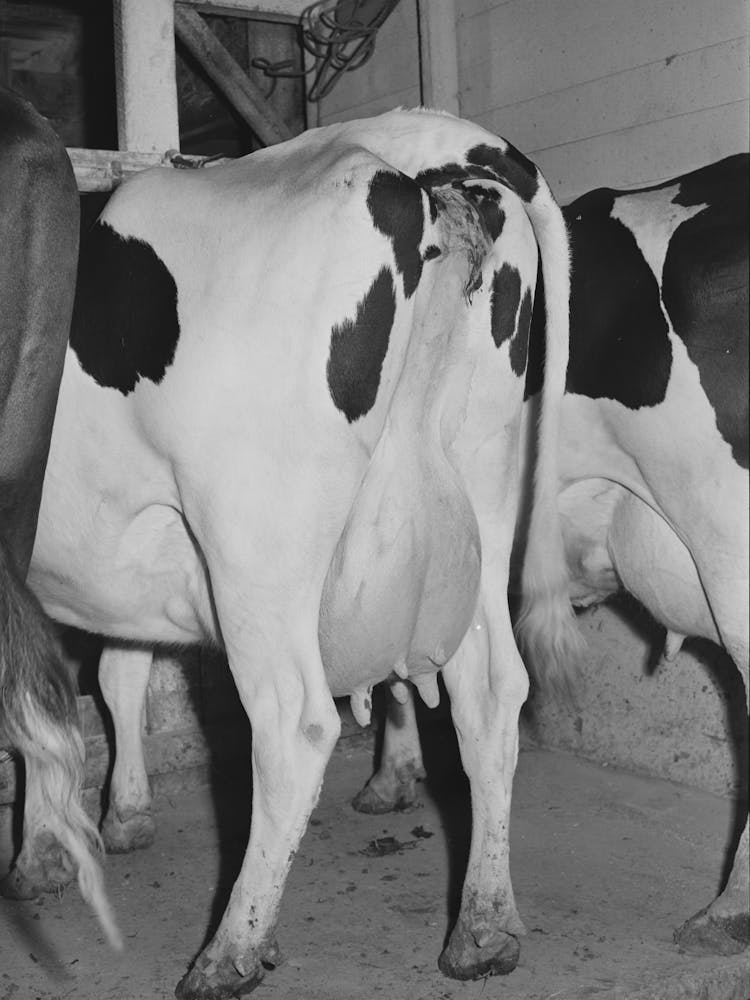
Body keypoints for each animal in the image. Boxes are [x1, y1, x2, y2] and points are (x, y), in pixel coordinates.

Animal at [13, 109, 575, 997]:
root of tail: (404, 145)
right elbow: (112, 672)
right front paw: (121, 815)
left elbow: (42, 699)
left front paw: (43, 851)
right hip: (480, 504)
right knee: (491, 695)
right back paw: (483, 929)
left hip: (255, 539)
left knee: (294, 724)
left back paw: (231, 948)